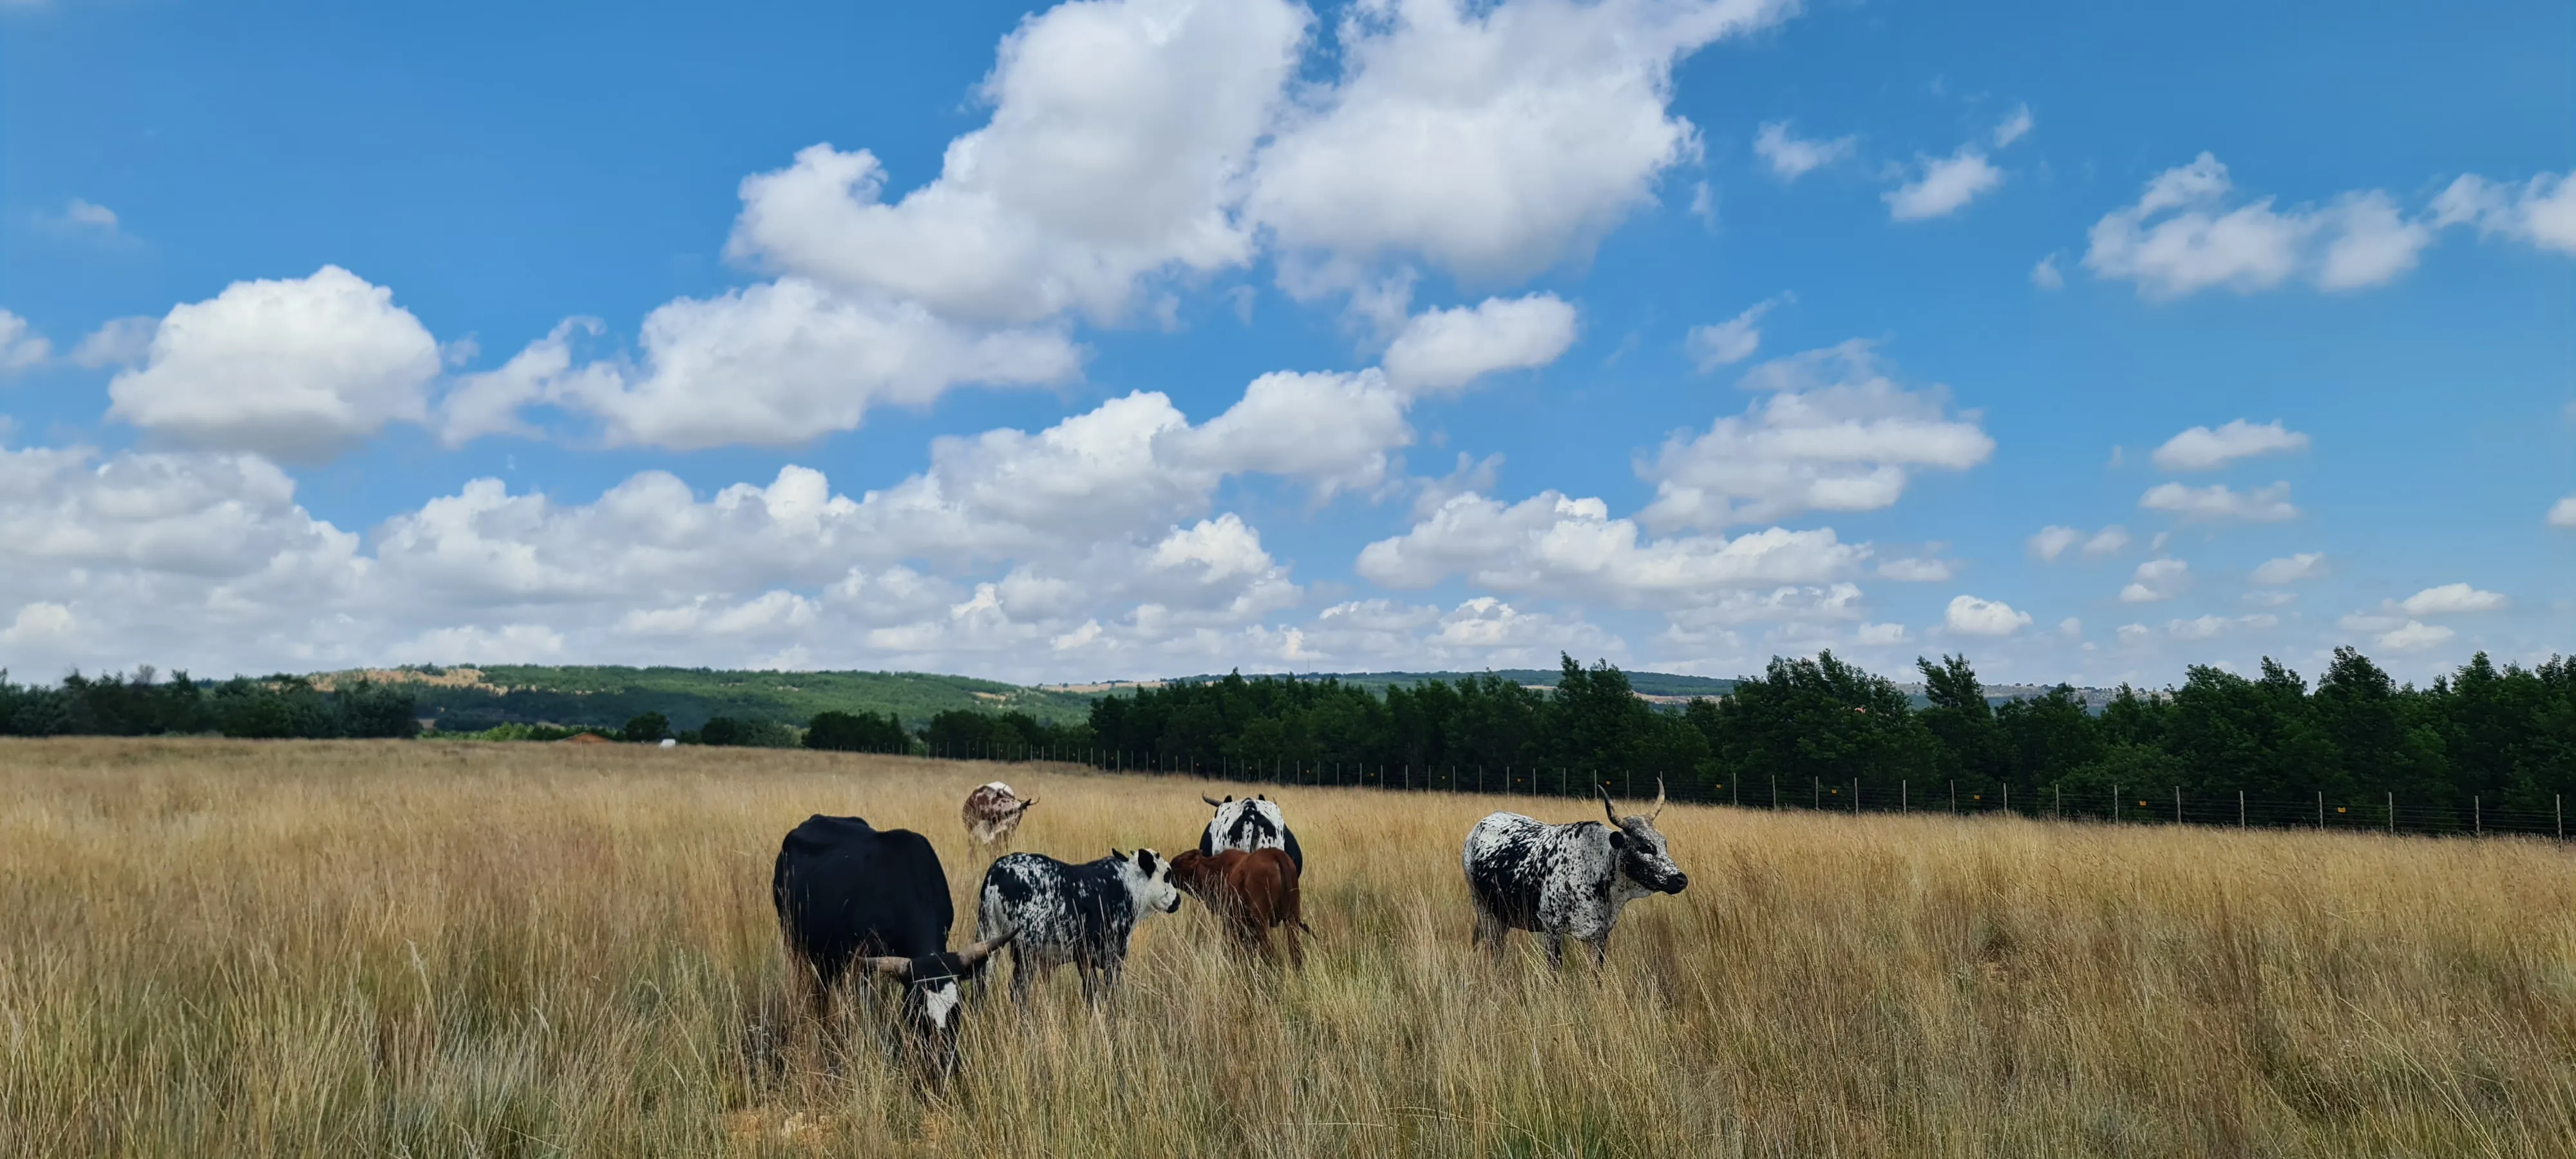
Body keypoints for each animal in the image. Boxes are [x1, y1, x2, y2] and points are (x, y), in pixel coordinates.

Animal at [975, 848, 1181, 1006]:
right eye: (1167, 875)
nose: (1178, 900)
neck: (1130, 886)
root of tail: (999, 870)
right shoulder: (1114, 955)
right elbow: (1110, 991)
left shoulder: (1084, 957)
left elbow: (1091, 992)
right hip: (1027, 950)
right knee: (1018, 990)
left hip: (988, 937)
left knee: (981, 983)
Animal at [1167, 848, 1309, 968]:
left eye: (1175, 864)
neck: (1214, 870)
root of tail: (1276, 854)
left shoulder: (1231, 921)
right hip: (1292, 919)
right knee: (1296, 952)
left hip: (1262, 921)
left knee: (1268, 950)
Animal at [1460, 780, 1688, 968]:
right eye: (1644, 846)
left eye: (1663, 842)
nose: (1680, 879)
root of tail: (1480, 826)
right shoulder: (1552, 930)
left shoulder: (1600, 934)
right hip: (1483, 908)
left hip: (1502, 916)